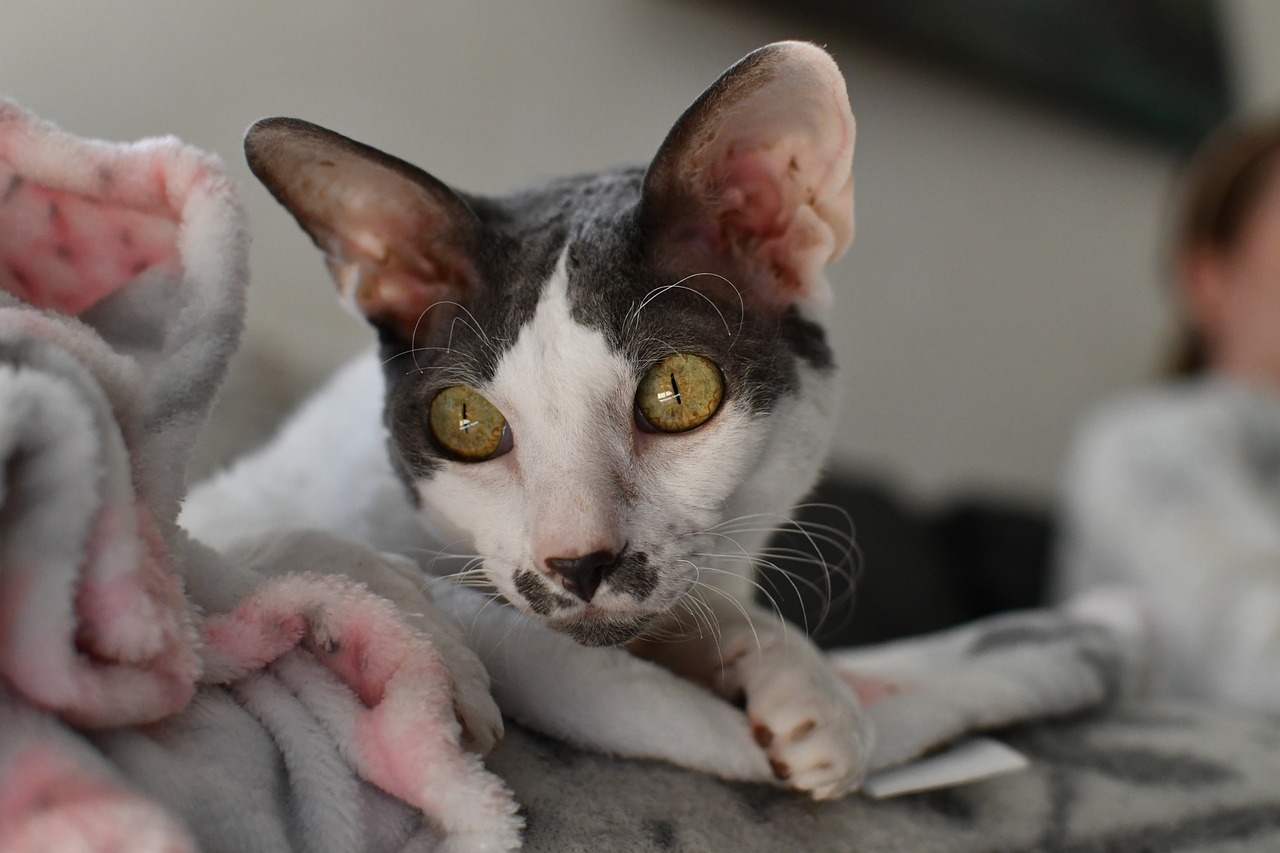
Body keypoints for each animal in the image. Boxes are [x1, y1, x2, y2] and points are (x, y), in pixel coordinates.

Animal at [185, 39, 870, 799]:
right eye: (465, 421)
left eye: (679, 393)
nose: (579, 562)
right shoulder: (219, 518)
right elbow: (283, 545)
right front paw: (413, 657)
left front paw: (801, 679)